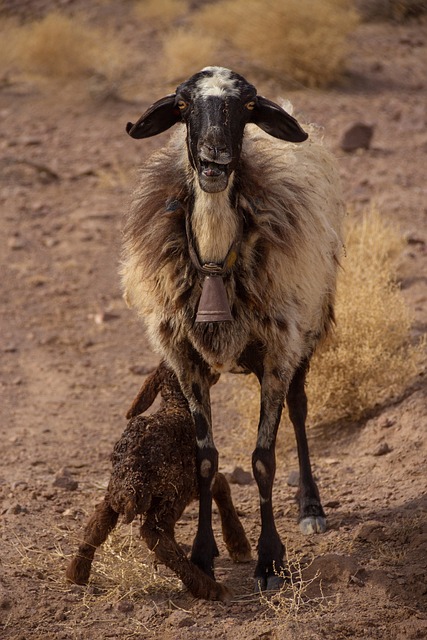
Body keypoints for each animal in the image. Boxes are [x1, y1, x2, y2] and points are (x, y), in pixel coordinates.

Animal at [66, 362, 251, 604]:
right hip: (174, 492)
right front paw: (240, 547)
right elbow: (222, 485)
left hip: (113, 491)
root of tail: (130, 482)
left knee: (97, 525)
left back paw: (76, 574)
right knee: (155, 534)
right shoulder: (201, 476)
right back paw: (211, 588)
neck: (179, 403)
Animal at [122, 67, 346, 592]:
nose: (214, 158)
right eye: (183, 105)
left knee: (300, 411)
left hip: (304, 335)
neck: (214, 259)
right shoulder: (186, 360)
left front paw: (269, 561)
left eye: (246, 107)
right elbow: (205, 459)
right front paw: (202, 555)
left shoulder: (279, 352)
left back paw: (310, 507)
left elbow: (263, 460)